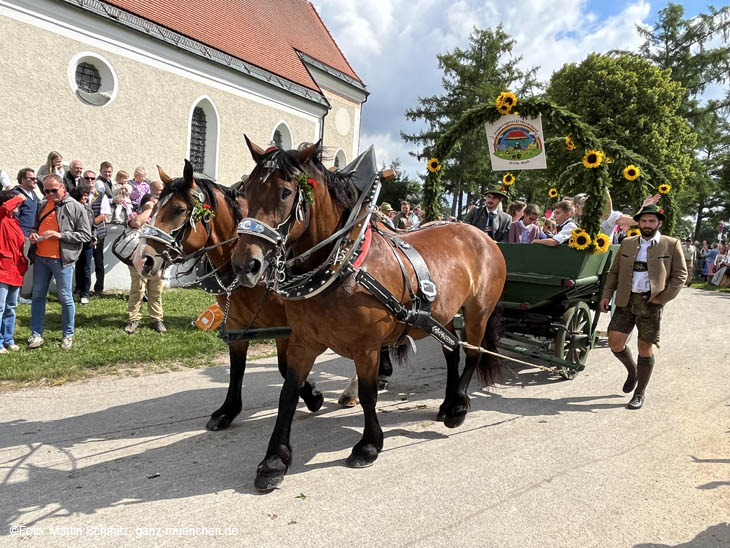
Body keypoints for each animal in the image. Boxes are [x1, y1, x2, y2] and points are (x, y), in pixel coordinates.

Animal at [230, 139, 504, 490]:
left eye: (285, 192)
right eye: (245, 190)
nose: (245, 264)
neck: (343, 265)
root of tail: (481, 235)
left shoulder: (367, 348)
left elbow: (368, 394)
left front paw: (368, 445)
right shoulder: (304, 341)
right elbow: (288, 394)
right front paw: (274, 461)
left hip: (478, 311)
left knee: (472, 353)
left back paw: (457, 406)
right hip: (441, 315)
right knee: (451, 350)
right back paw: (446, 404)